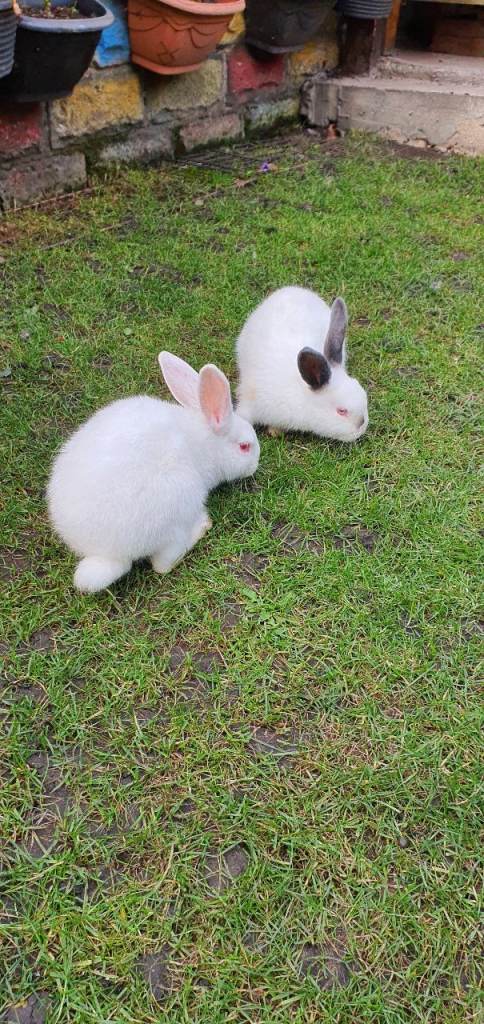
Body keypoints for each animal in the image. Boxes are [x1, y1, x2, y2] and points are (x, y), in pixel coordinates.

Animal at [47, 352, 260, 593]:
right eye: (244, 447)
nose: (255, 465)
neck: (205, 443)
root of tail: (105, 552)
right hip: (180, 502)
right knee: (163, 564)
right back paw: (202, 526)